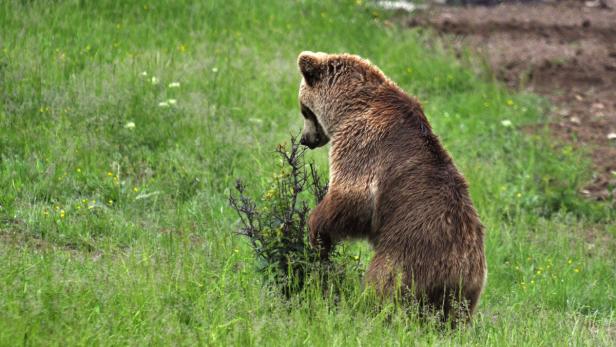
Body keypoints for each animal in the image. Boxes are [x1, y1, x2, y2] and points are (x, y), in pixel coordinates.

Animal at [298, 50, 486, 322]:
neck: (348, 107)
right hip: (463, 294)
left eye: (304, 109)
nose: (305, 139)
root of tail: (463, 272)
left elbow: (352, 197)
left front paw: (315, 230)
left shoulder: (362, 141)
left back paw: (368, 309)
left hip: (407, 255)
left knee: (382, 284)